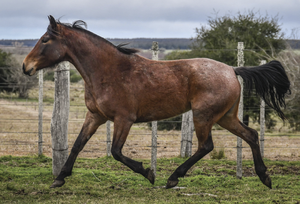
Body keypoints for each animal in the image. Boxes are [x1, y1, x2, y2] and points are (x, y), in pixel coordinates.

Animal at [22, 15, 290, 190]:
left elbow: (116, 151)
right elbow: (78, 144)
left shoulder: (124, 119)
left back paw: (173, 178)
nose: (26, 67)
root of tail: (233, 70)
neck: (108, 71)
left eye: (45, 40)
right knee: (251, 135)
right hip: (225, 117)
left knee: (206, 146)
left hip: (203, 116)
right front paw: (59, 178)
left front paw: (148, 173)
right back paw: (265, 177)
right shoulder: (95, 116)